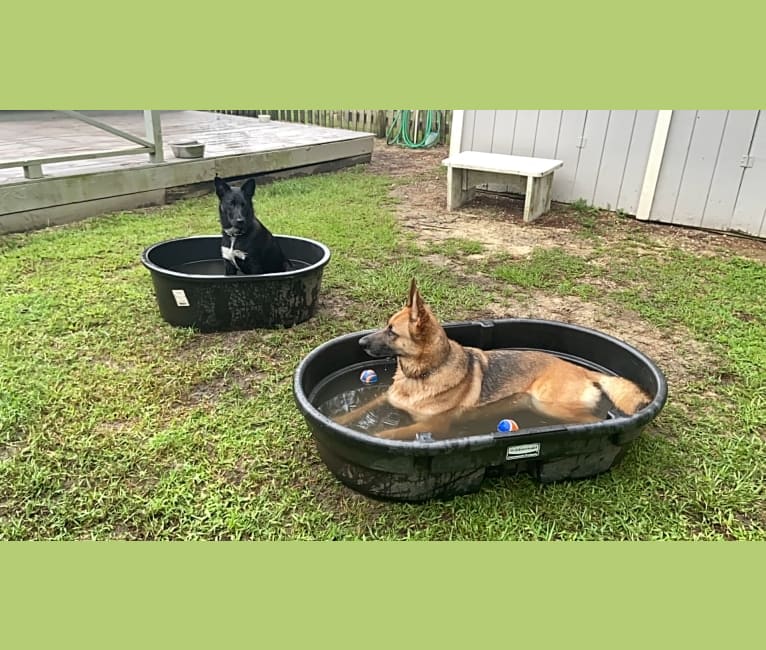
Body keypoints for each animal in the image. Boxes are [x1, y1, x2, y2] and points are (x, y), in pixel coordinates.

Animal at [338, 278, 656, 440]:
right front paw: (338, 419)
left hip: (551, 405)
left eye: (392, 332)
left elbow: (385, 434)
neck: (424, 372)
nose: (360, 342)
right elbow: (359, 410)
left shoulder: (433, 427)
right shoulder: (385, 398)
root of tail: (583, 371)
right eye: (386, 325)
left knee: (595, 419)